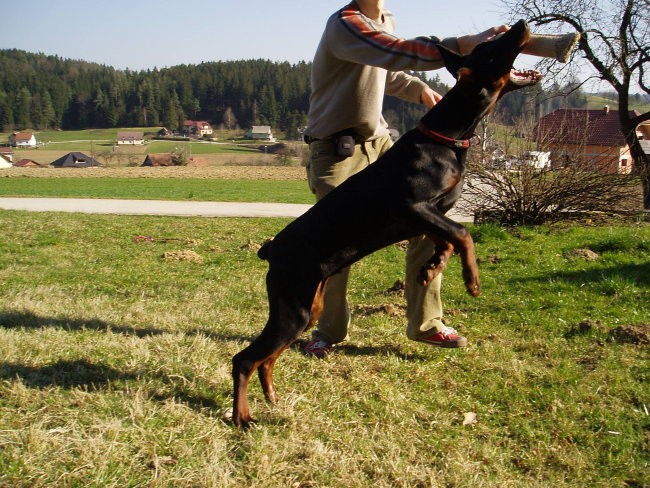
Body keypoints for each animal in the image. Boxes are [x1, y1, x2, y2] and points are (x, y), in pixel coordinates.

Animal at [230, 19, 540, 428]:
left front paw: (432, 268)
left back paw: (272, 398)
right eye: (492, 49)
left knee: (266, 359)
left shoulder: (434, 212)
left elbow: (448, 238)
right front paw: (472, 280)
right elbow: (463, 233)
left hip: (306, 308)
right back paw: (242, 417)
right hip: (292, 308)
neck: (447, 136)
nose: (520, 24)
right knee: (244, 359)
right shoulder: (411, 206)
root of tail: (271, 250)